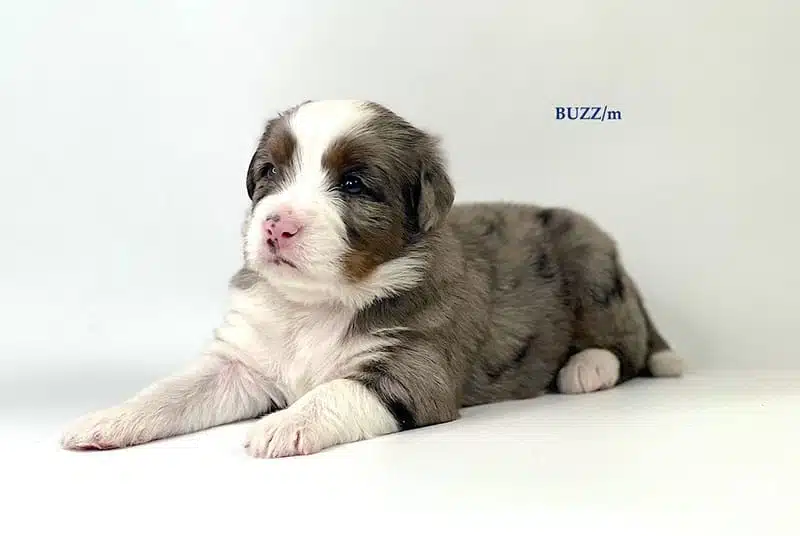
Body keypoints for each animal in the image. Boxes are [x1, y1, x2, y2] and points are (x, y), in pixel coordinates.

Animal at [61, 99, 680, 456]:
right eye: (269, 173)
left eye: (354, 184)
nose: (276, 225)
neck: (318, 303)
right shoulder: (240, 362)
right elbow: (172, 391)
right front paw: (108, 418)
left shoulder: (415, 365)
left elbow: (337, 390)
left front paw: (284, 424)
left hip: (591, 259)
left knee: (628, 345)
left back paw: (588, 368)